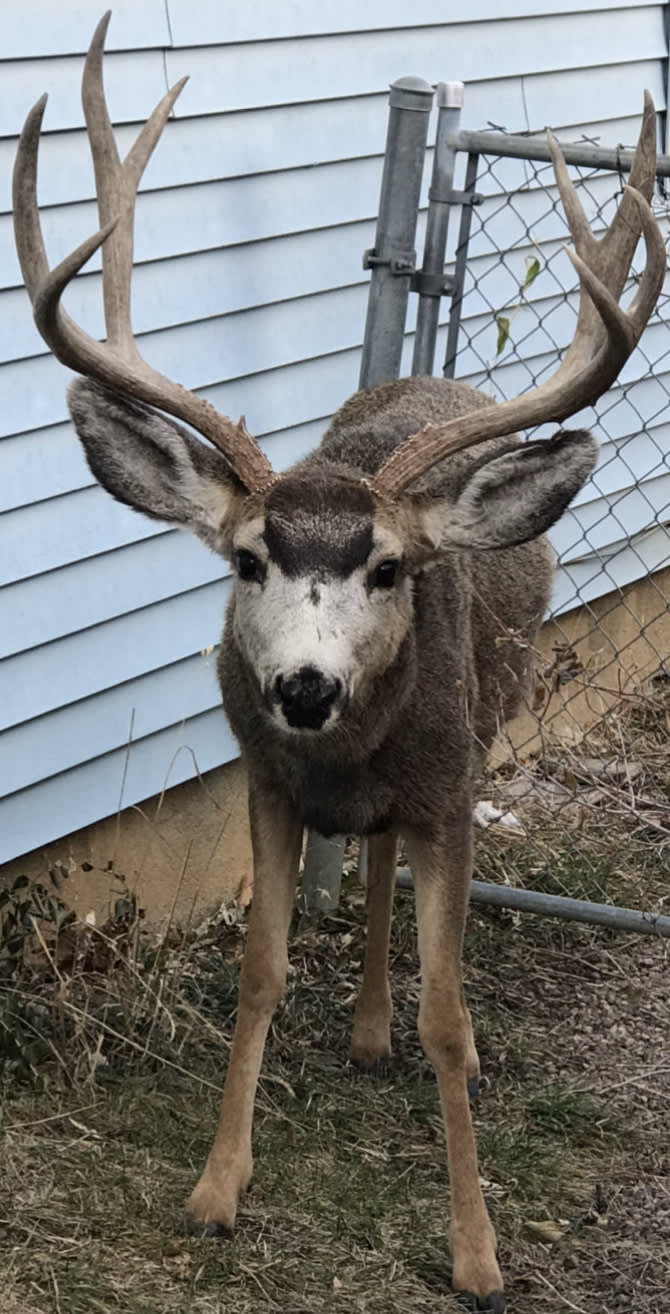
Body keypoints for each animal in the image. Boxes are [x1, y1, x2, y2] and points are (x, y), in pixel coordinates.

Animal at [13, 13, 665, 1311]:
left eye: (388, 569)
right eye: (249, 557)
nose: (304, 687)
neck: (346, 754)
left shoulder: (451, 785)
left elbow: (449, 1014)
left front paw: (477, 1254)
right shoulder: (264, 781)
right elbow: (261, 970)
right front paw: (217, 1190)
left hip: (483, 728)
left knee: (397, 872)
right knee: (368, 865)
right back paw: (362, 1025)